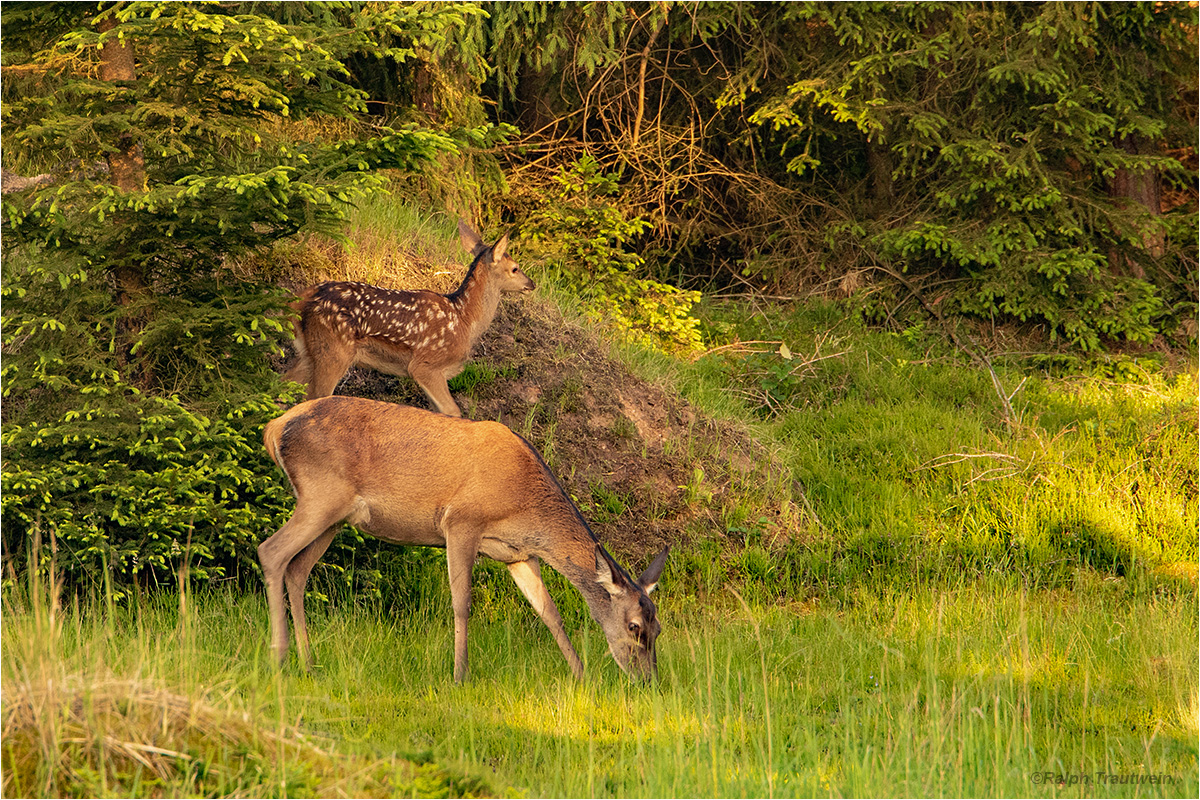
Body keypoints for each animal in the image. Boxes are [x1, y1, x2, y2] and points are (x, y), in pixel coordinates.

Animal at [259, 393, 672, 681]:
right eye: (634, 626)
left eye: (658, 628)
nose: (648, 680)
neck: (524, 503)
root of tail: (275, 427)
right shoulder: (461, 522)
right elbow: (462, 603)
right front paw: (460, 674)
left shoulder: (519, 554)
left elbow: (549, 612)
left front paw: (581, 674)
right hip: (321, 495)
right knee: (271, 552)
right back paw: (278, 658)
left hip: (333, 517)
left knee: (297, 569)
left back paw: (308, 662)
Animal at [283, 220, 532, 419]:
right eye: (515, 268)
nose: (532, 283)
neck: (465, 320)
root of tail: (302, 298)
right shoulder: (425, 365)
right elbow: (452, 411)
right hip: (334, 351)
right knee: (313, 397)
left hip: (309, 351)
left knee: (284, 383)